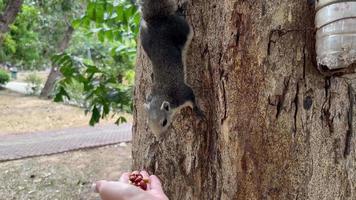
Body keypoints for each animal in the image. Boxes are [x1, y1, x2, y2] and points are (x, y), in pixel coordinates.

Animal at [140, 0, 204, 136]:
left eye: (164, 122)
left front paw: (198, 112)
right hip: (144, 38)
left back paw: (181, 10)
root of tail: (158, 21)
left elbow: (192, 99)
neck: (161, 95)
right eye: (148, 123)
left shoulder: (182, 94)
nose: (159, 137)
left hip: (180, 28)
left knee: (183, 24)